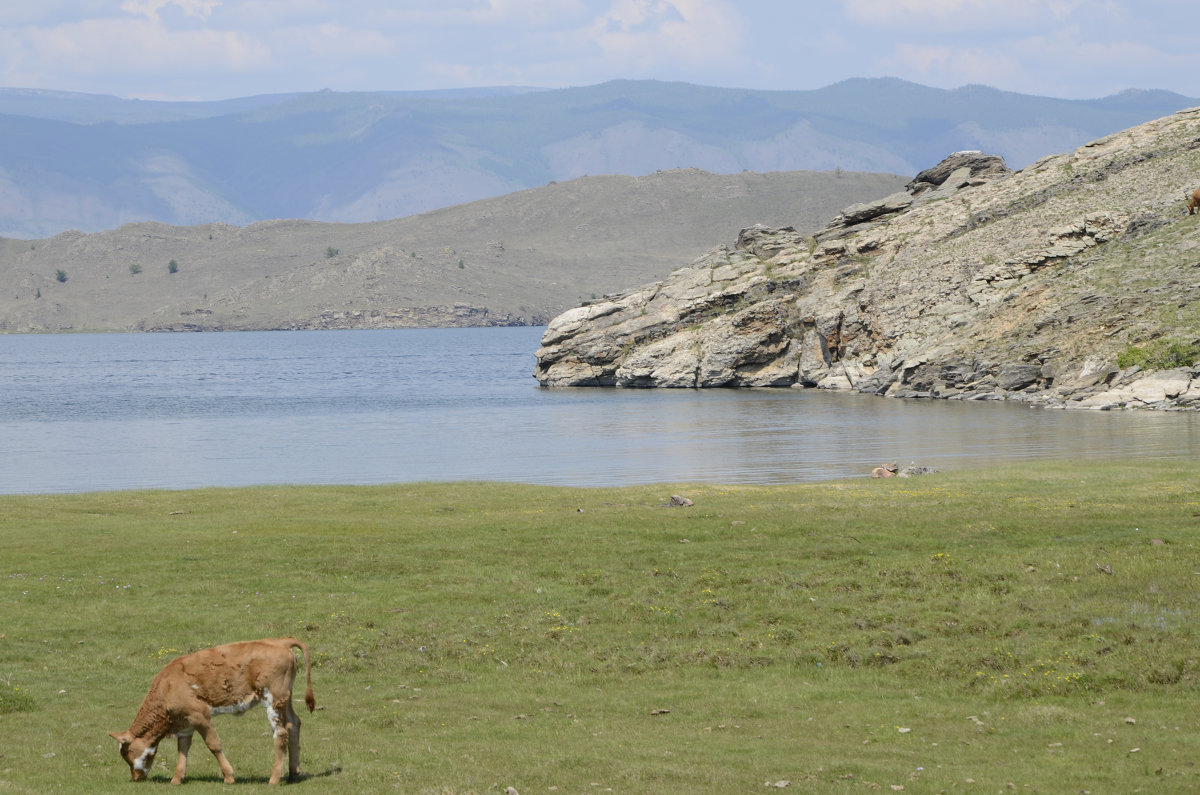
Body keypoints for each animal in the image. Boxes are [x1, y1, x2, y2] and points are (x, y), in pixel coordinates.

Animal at [109, 643, 314, 782]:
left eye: (127, 753)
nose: (136, 778)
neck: (166, 686)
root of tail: (279, 642)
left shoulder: (200, 715)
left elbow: (213, 744)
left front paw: (229, 776)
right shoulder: (185, 722)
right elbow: (183, 748)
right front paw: (177, 779)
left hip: (272, 699)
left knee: (281, 733)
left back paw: (274, 779)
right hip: (285, 699)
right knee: (294, 724)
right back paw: (293, 774)